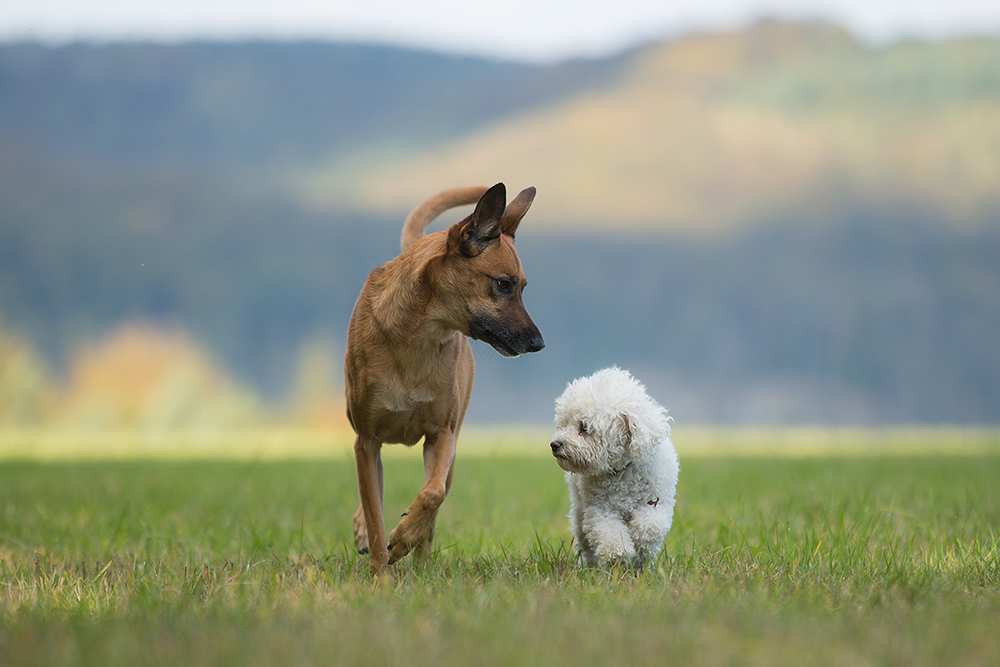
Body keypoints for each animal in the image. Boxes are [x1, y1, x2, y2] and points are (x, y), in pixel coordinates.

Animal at [344, 181, 548, 576]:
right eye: (504, 284)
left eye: (523, 287)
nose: (538, 343)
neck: (416, 336)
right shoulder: (366, 441)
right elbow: (375, 514)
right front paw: (381, 575)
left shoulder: (442, 436)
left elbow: (432, 494)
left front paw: (403, 538)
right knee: (372, 494)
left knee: (433, 505)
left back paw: (420, 560)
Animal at [548, 368, 680, 568]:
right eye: (563, 424)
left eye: (583, 427)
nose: (555, 444)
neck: (621, 472)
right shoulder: (601, 509)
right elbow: (610, 532)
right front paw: (619, 553)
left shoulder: (657, 503)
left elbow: (649, 526)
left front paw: (637, 539)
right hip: (579, 513)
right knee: (585, 542)